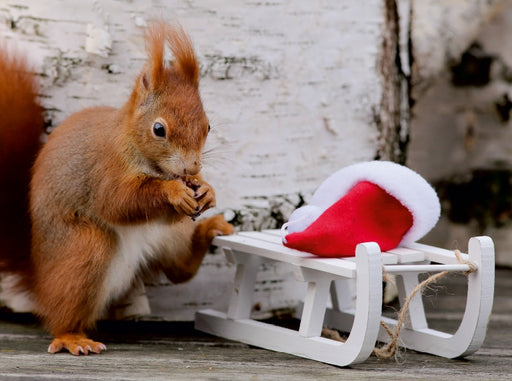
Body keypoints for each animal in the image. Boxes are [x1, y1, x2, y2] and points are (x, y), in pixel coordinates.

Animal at [0, 22, 232, 354]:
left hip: (171, 237)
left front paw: (208, 190)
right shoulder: (105, 170)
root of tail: (39, 277)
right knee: (63, 313)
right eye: (158, 129)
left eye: (208, 126)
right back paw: (72, 338)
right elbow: (118, 202)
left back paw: (208, 231)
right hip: (85, 247)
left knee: (180, 270)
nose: (191, 168)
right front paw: (173, 192)